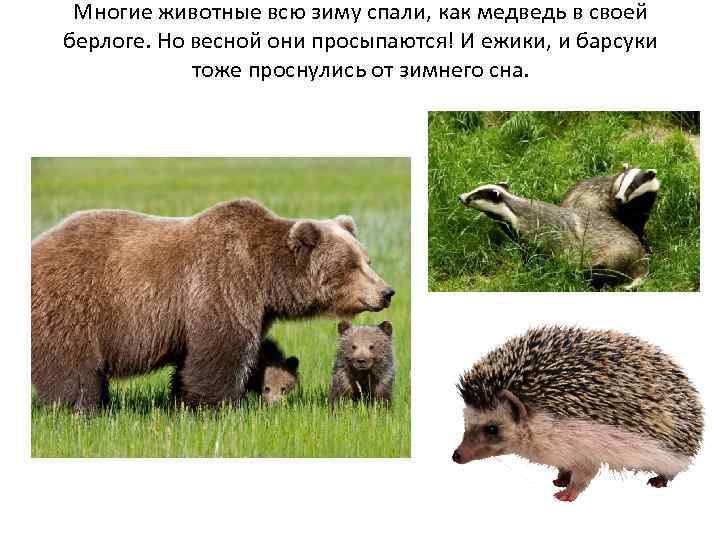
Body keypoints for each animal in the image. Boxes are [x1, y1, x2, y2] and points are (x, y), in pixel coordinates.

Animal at [31, 198, 394, 412]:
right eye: (350, 264)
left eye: (367, 259)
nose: (387, 292)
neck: (264, 276)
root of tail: (37, 244)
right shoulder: (221, 284)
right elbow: (220, 351)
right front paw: (215, 407)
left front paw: (181, 401)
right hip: (73, 306)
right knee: (72, 368)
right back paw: (81, 409)